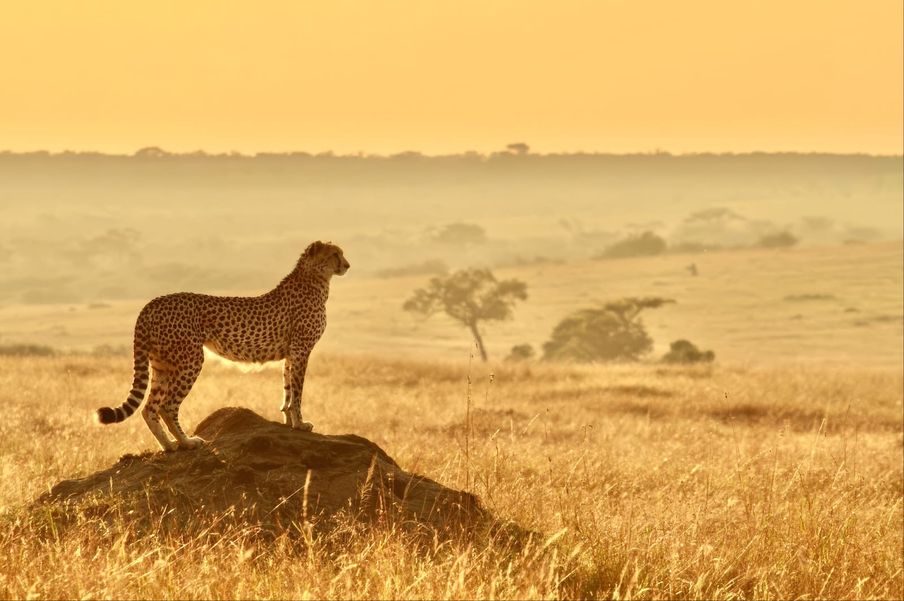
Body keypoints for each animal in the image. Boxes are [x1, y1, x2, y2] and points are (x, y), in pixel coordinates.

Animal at [95, 240, 350, 451]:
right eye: (335, 254)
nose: (347, 265)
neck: (315, 279)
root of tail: (152, 303)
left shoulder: (291, 354)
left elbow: (287, 389)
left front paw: (289, 421)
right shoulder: (301, 350)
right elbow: (297, 392)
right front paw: (300, 423)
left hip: (162, 364)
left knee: (149, 408)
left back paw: (168, 446)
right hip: (190, 360)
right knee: (167, 406)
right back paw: (187, 442)